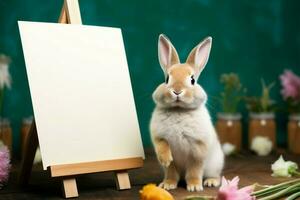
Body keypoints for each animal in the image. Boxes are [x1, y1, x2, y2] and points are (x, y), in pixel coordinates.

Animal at [149, 34, 224, 192]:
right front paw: (168, 182)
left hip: (215, 164)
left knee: (216, 175)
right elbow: (167, 158)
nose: (177, 91)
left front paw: (195, 187)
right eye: (167, 79)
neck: (179, 109)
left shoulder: (198, 145)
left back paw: (211, 182)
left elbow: (195, 167)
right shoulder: (159, 137)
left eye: (192, 80)